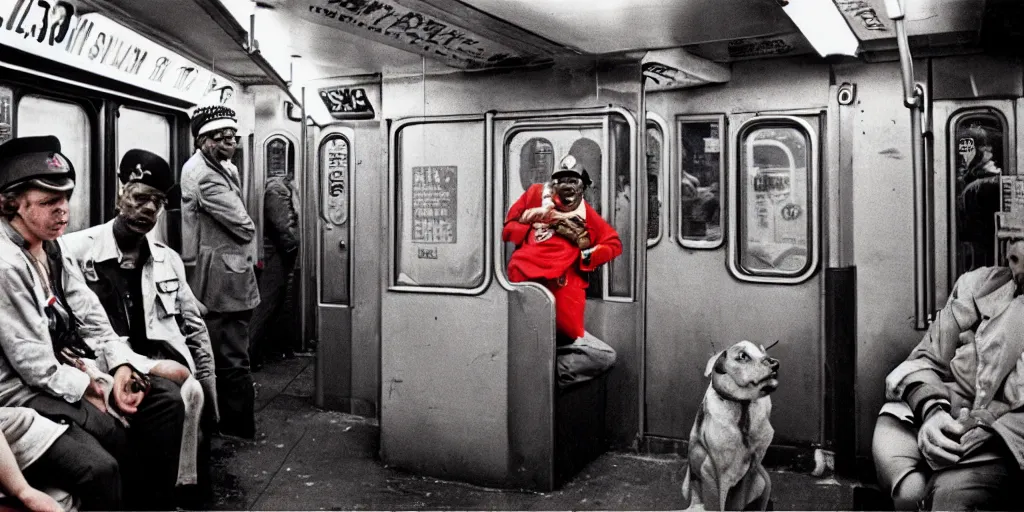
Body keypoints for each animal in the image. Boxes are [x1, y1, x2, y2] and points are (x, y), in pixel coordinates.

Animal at [684, 339, 778, 512]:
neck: (742, 408)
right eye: (742, 356)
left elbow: (740, 501)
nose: (775, 363)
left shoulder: (752, 470)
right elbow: (717, 503)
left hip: (763, 481)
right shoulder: (714, 473)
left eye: (763, 353)